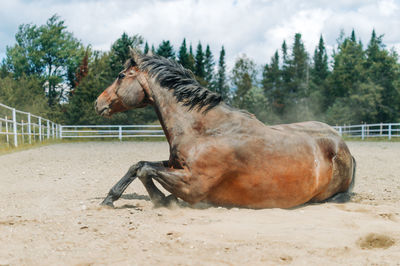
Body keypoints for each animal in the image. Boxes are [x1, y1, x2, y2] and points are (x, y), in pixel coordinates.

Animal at [94, 48, 356, 209]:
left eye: (120, 75)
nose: (98, 103)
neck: (205, 130)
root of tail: (343, 147)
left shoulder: (192, 184)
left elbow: (145, 170)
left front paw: (164, 200)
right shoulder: (174, 165)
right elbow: (137, 165)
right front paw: (109, 199)